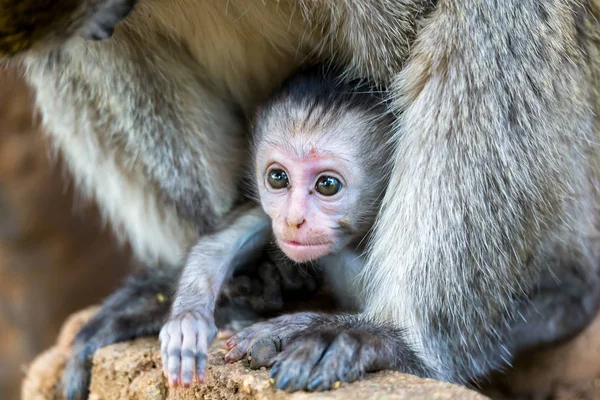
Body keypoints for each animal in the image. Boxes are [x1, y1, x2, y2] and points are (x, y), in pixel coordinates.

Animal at [159, 65, 394, 388]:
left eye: (327, 184)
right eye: (278, 178)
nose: (293, 219)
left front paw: (295, 329)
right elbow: (222, 242)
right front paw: (188, 321)